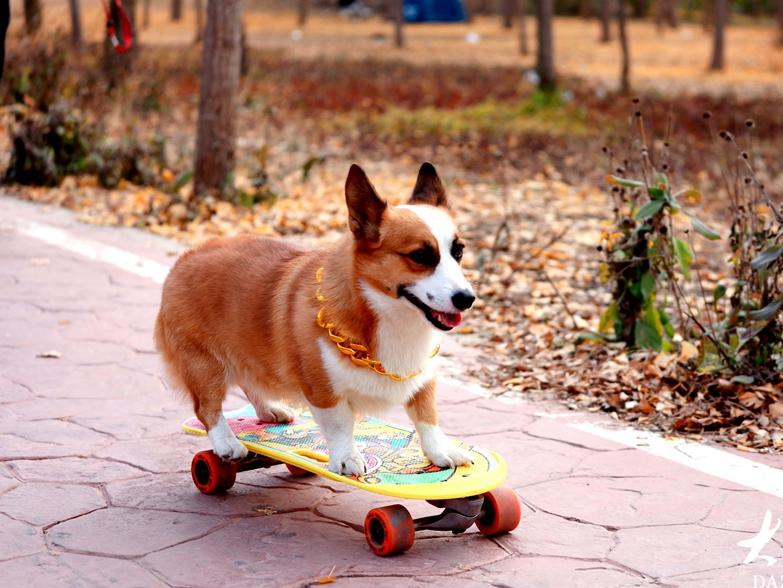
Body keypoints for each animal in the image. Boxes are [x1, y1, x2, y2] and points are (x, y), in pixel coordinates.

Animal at [152, 163, 472, 476]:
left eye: (458, 251)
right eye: (420, 256)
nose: (467, 298)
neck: (391, 317)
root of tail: (187, 255)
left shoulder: (423, 378)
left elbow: (427, 417)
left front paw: (440, 451)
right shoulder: (323, 389)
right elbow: (340, 424)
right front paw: (347, 458)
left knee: (250, 380)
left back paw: (270, 410)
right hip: (204, 365)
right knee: (207, 408)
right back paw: (227, 443)